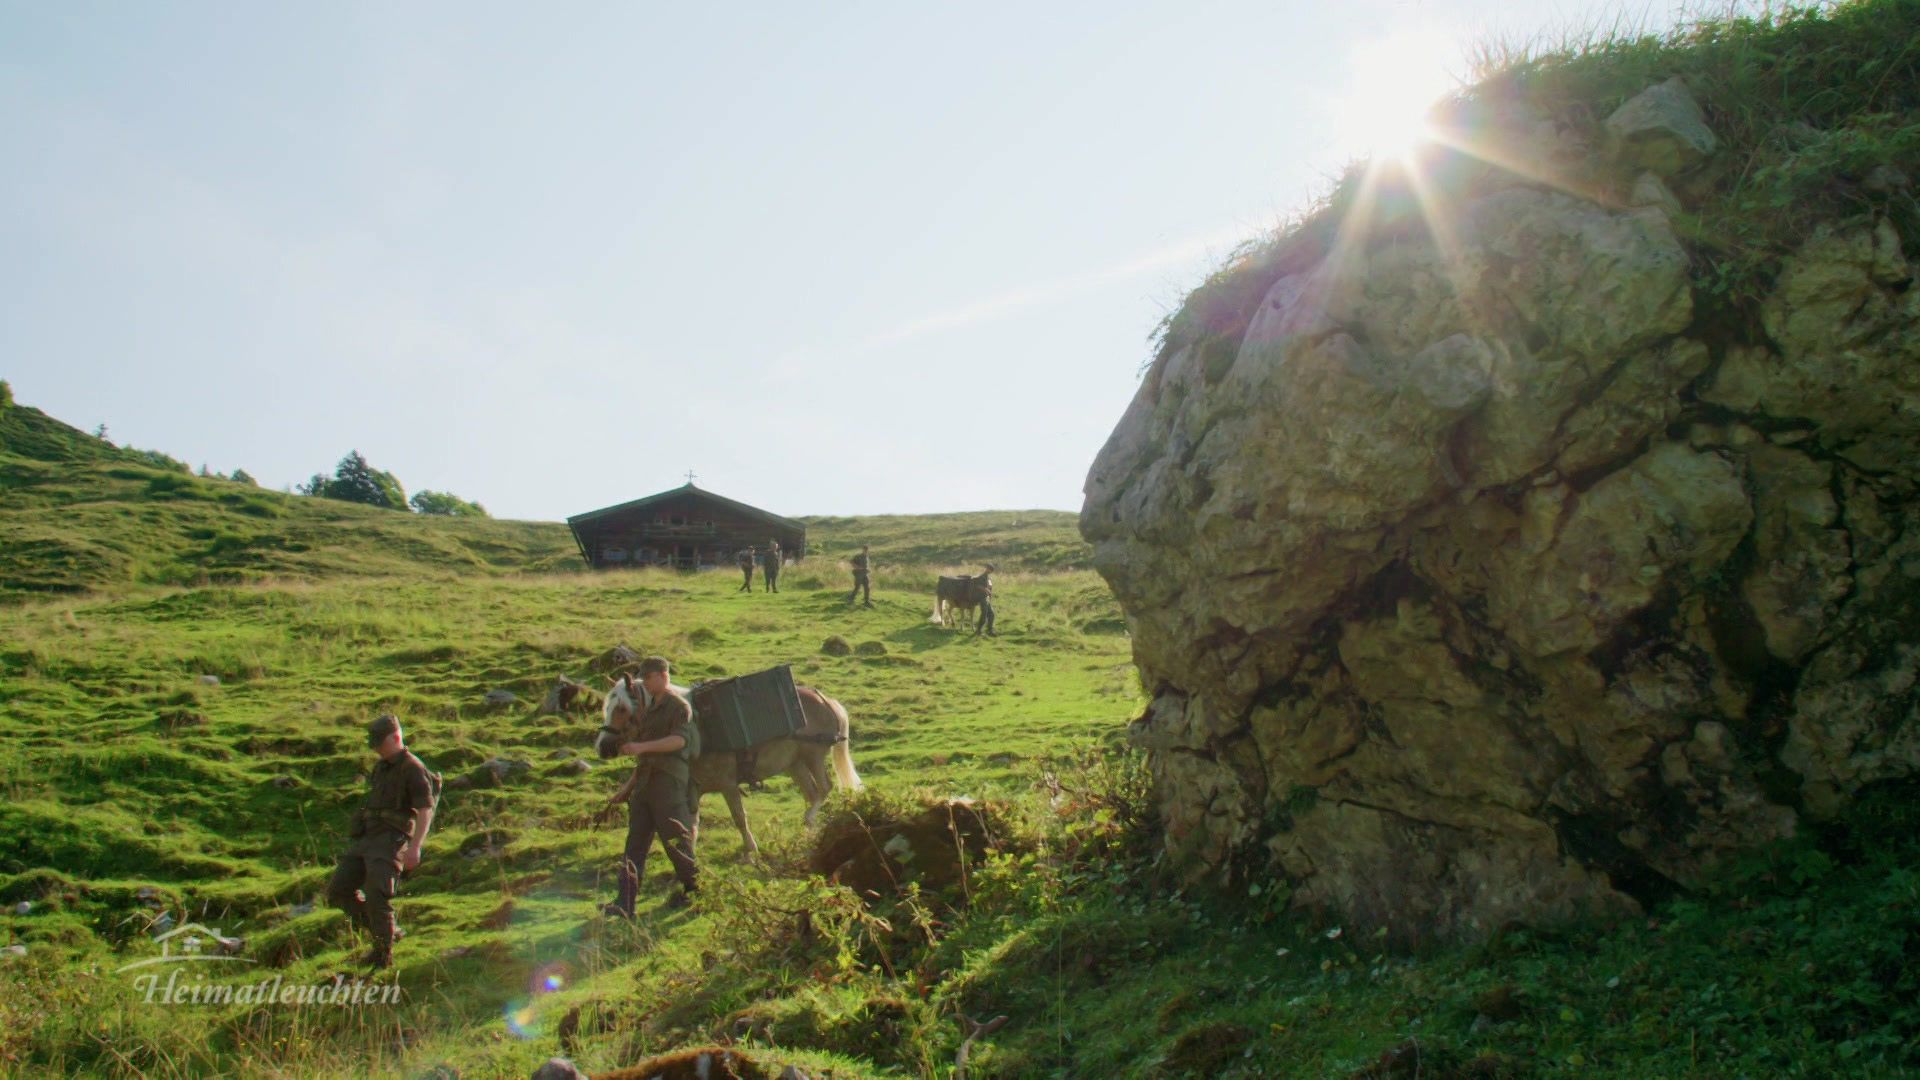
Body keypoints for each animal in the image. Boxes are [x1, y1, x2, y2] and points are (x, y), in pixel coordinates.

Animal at [599, 672, 864, 857]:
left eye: (621, 708)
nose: (603, 747)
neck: (699, 730)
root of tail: (826, 700)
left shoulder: (727, 784)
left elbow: (739, 817)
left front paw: (750, 848)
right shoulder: (694, 787)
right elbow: (690, 824)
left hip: (813, 756)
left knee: (824, 789)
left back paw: (808, 820)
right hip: (795, 764)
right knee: (812, 793)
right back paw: (807, 830)